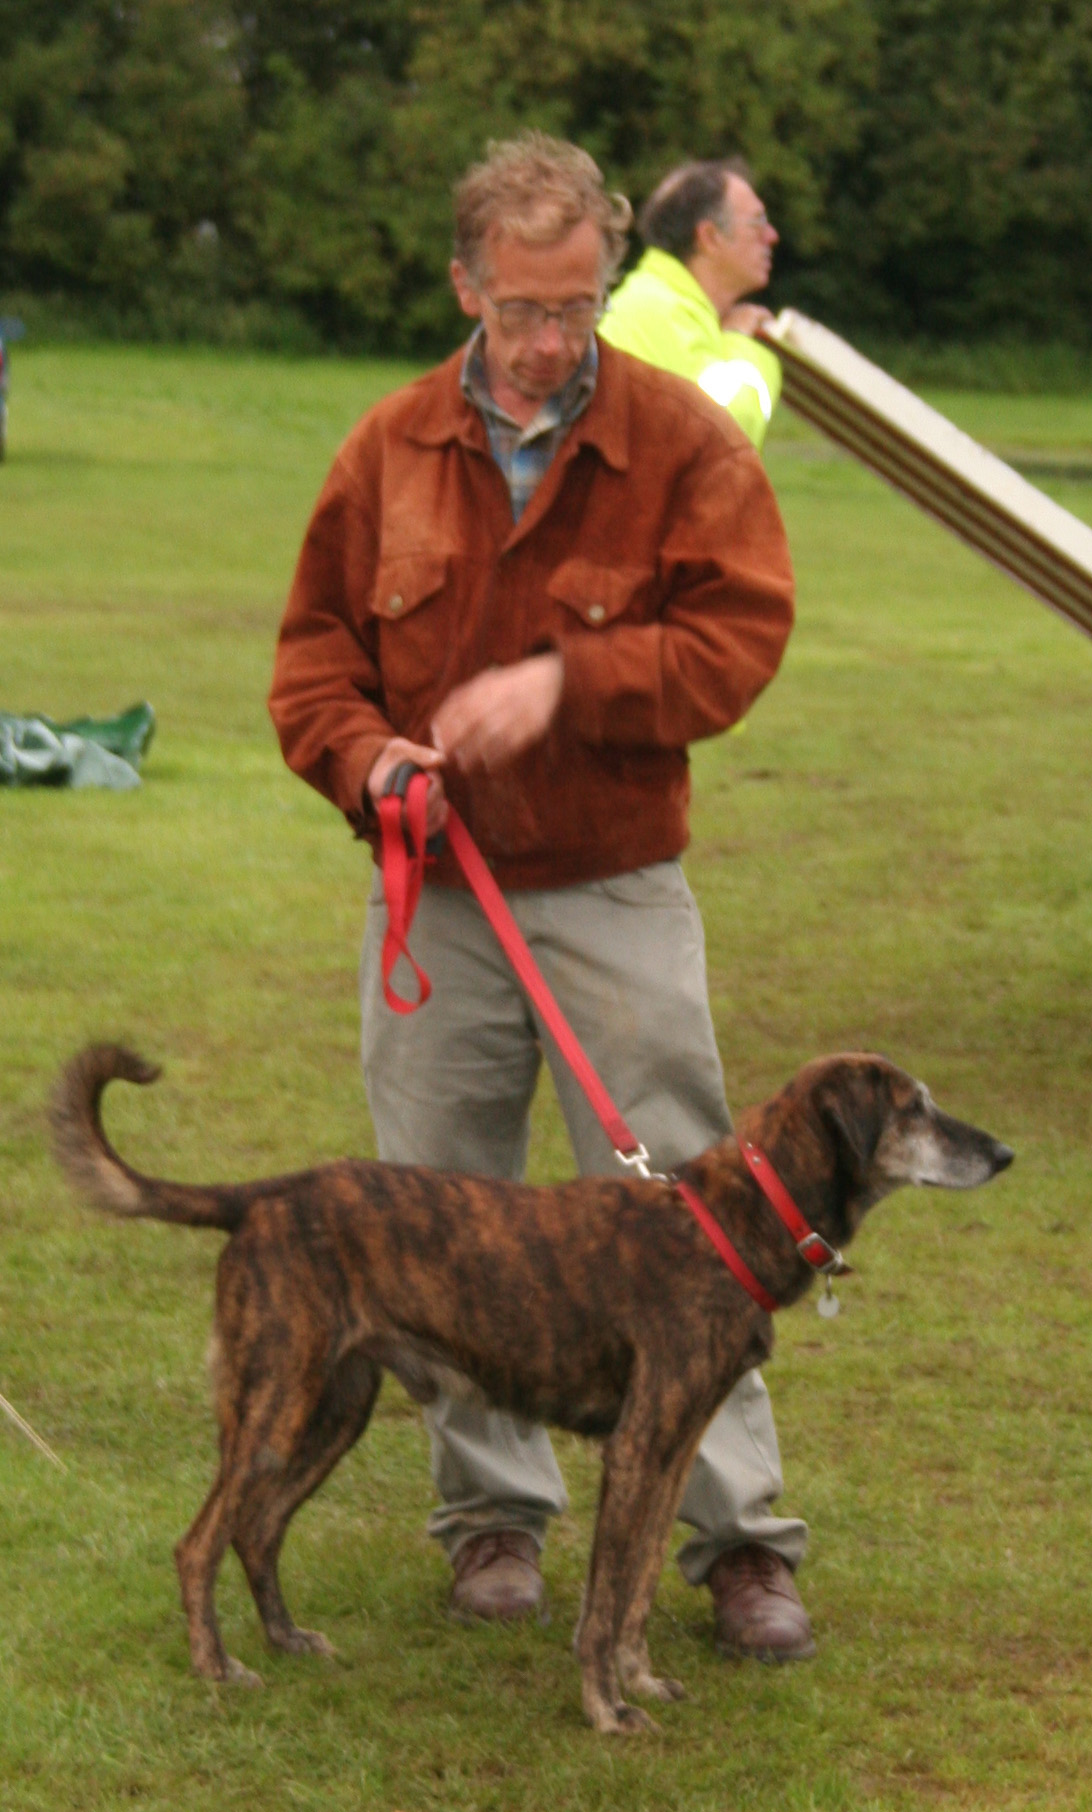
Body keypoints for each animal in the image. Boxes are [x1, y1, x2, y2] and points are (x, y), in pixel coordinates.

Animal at [49, 1043, 1006, 1732]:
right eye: (914, 1108)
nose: (1004, 1152)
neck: (733, 1220)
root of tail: (265, 1197)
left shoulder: (674, 1450)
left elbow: (637, 1589)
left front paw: (641, 1682)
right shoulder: (637, 1450)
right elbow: (603, 1602)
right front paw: (606, 1712)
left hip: (334, 1409)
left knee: (257, 1528)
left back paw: (285, 1640)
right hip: (274, 1407)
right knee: (201, 1541)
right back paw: (217, 1668)